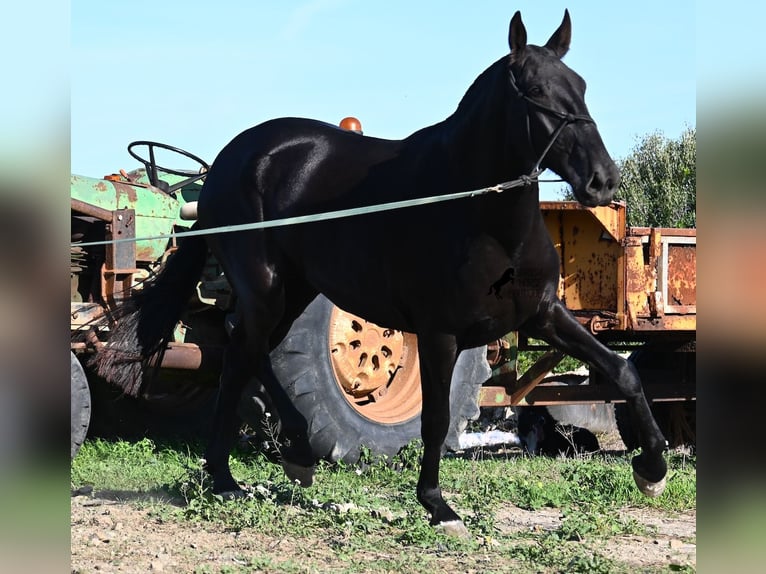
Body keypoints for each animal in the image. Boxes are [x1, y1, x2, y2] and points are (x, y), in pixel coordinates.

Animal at [94, 10, 667, 537]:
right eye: (536, 92)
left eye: (581, 86)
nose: (602, 180)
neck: (478, 212)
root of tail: (229, 162)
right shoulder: (438, 334)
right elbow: (435, 419)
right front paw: (438, 506)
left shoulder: (543, 314)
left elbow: (623, 371)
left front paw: (652, 467)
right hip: (266, 289)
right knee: (242, 352)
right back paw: (232, 473)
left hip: (296, 292)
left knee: (245, 351)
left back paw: (274, 461)